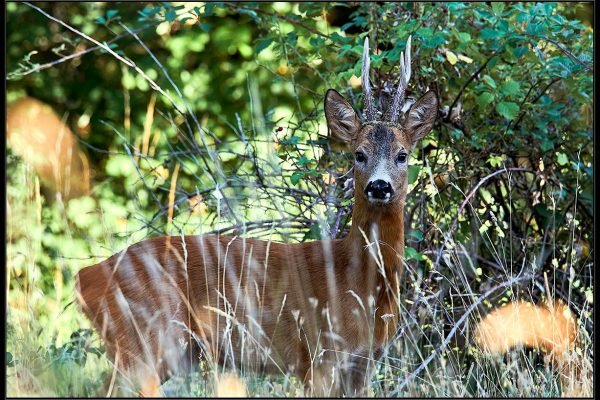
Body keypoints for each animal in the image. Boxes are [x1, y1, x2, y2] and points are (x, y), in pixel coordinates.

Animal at [77, 36, 438, 396]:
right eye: (359, 154)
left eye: (402, 155)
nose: (379, 186)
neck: (359, 284)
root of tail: (87, 276)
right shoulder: (319, 355)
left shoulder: (364, 364)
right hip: (147, 340)